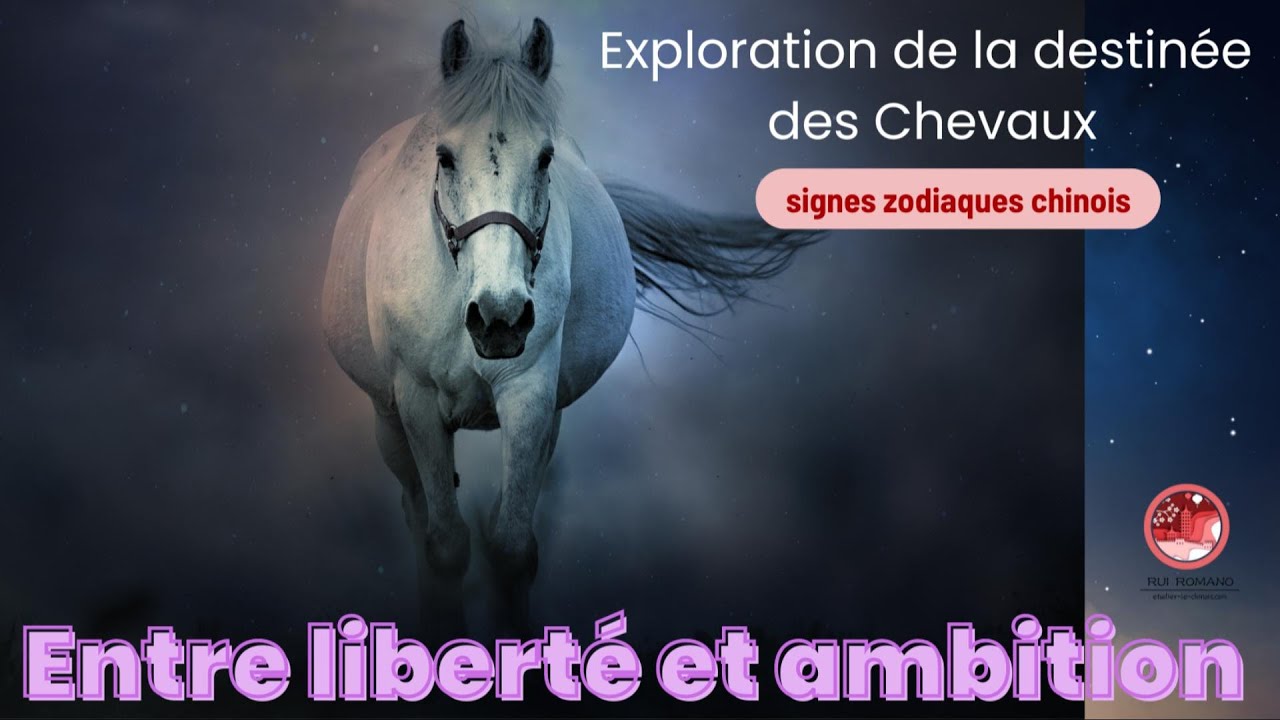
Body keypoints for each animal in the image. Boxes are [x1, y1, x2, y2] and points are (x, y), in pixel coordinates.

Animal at [322, 17, 819, 637]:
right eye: (444, 156)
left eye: (544, 158)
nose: (500, 318)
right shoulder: (416, 401)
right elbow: (446, 546)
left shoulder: (532, 394)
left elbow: (511, 546)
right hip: (387, 420)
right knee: (418, 516)